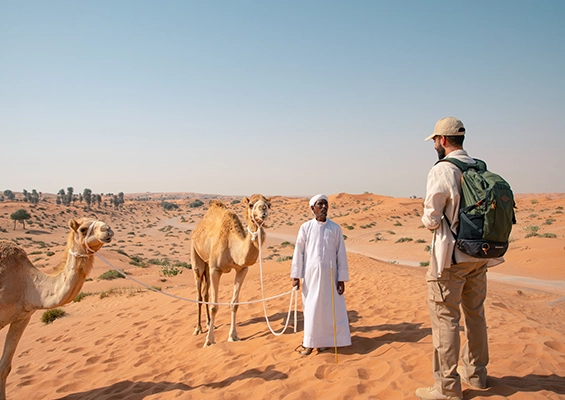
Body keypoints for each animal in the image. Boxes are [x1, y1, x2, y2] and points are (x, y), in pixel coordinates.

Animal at [192, 194, 270, 346]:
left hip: (207, 265)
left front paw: (233, 336)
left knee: (205, 293)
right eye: (251, 204)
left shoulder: (242, 269)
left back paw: (209, 323)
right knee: (199, 293)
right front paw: (209, 340)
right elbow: (214, 306)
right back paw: (198, 328)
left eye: (269, 204)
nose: (263, 210)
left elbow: (234, 304)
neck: (232, 246)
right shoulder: (215, 269)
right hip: (196, 256)